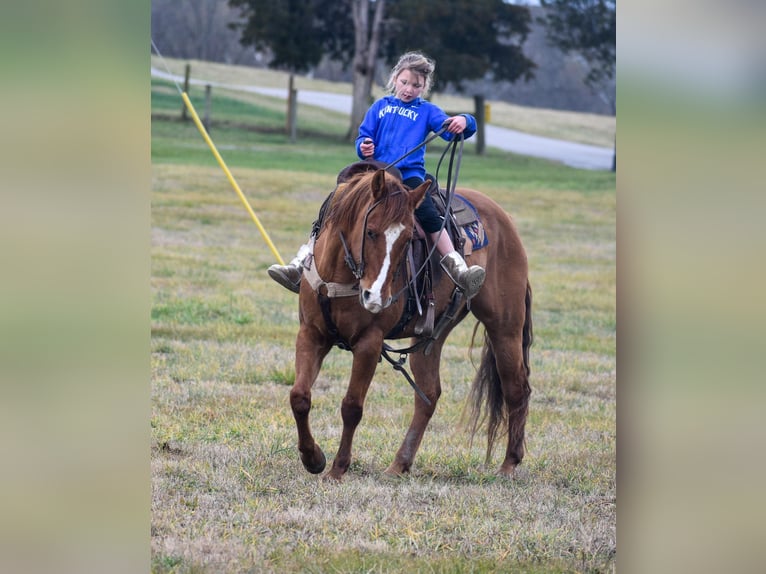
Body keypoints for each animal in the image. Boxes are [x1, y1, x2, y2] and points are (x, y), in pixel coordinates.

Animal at [290, 164, 536, 484]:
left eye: (408, 239)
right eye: (370, 231)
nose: (375, 297)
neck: (341, 275)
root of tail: (505, 222)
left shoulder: (369, 343)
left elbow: (352, 406)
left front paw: (337, 468)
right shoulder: (311, 334)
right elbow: (300, 397)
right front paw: (313, 458)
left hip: (505, 327)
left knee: (516, 388)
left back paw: (508, 465)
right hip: (434, 334)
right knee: (429, 394)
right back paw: (400, 464)